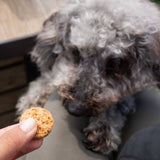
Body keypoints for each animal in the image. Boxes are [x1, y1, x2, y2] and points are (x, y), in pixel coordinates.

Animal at [16, 0, 160, 155]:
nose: (74, 109)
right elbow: (53, 77)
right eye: (75, 52)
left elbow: (118, 102)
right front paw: (34, 99)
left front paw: (103, 128)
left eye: (115, 65)